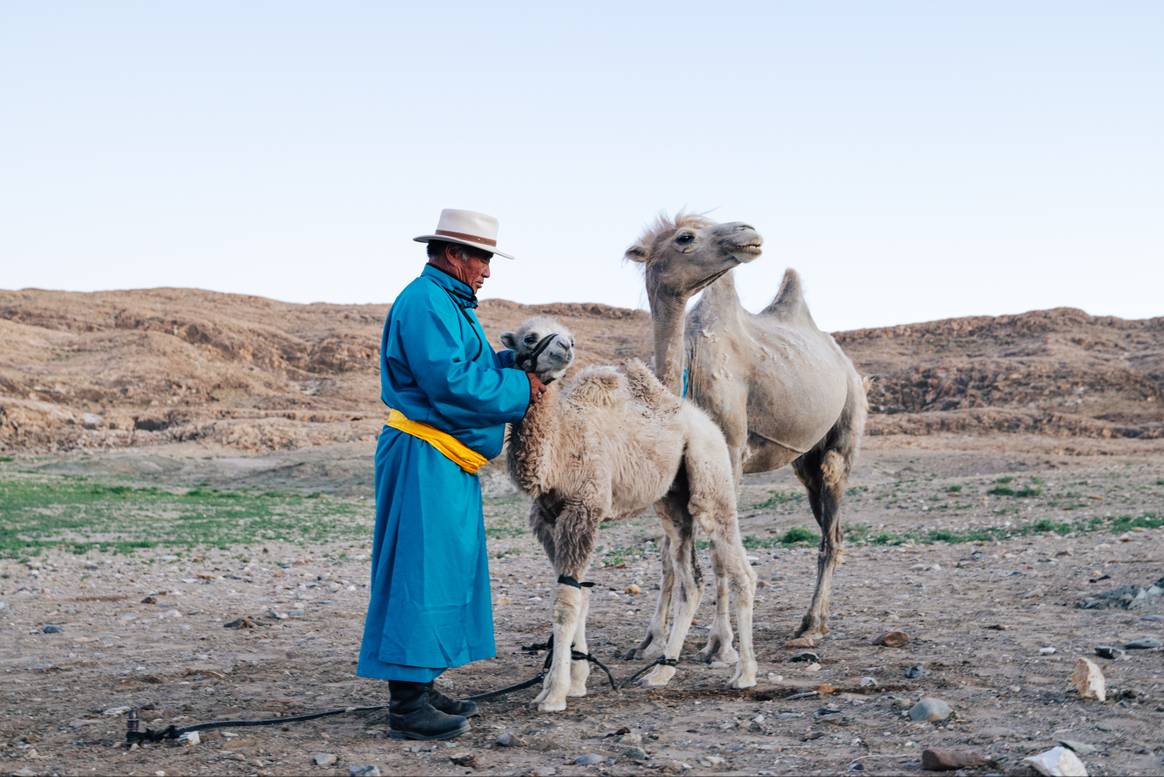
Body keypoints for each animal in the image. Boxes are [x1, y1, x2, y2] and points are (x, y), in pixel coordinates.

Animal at [498, 314, 754, 711]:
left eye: (571, 337)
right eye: (530, 337)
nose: (565, 347)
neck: (560, 449)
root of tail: (706, 422)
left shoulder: (583, 510)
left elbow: (566, 602)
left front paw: (554, 693)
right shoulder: (547, 519)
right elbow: (580, 593)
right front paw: (575, 681)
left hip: (711, 475)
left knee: (739, 567)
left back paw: (745, 674)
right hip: (672, 500)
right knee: (691, 579)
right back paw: (661, 672)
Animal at [628, 214, 866, 651]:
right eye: (685, 237)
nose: (747, 232)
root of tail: (845, 363)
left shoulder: (731, 454)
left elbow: (719, 552)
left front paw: (719, 643)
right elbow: (669, 553)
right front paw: (651, 640)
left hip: (846, 426)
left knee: (832, 533)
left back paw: (811, 627)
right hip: (804, 461)